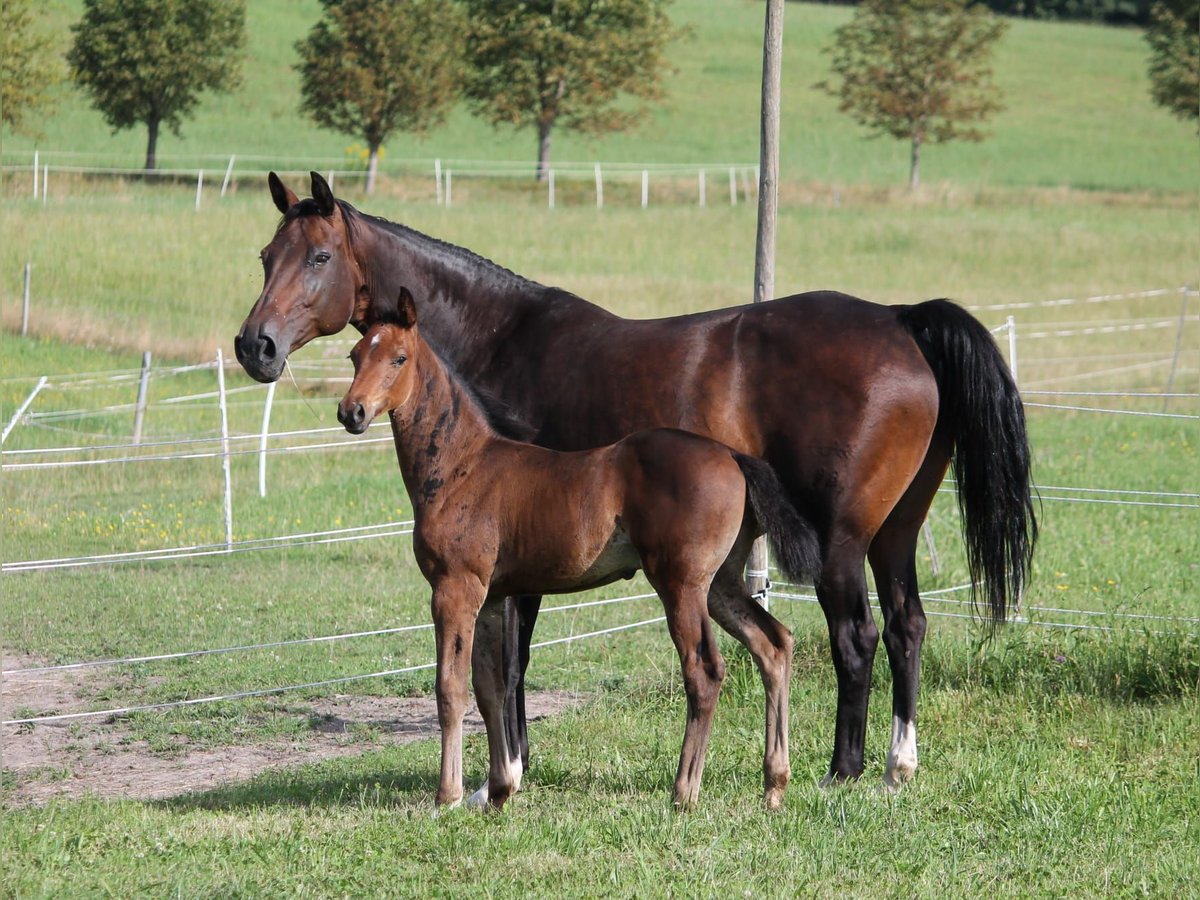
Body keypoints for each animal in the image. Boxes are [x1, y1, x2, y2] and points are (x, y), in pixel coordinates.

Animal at [338, 292, 825, 816]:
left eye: (399, 358)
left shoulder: (455, 587)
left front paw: (447, 797)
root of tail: (732, 456)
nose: (352, 412)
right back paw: (774, 784)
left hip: (682, 584)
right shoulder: (491, 596)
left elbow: (450, 688)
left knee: (705, 672)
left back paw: (684, 792)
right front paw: (498, 790)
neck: (462, 466)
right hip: (720, 583)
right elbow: (490, 690)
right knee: (773, 644)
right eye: (355, 355)